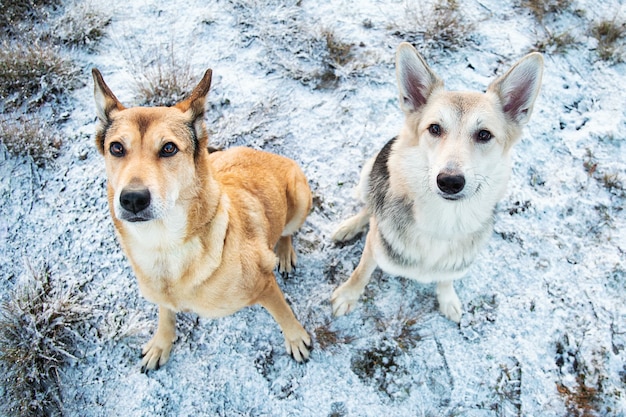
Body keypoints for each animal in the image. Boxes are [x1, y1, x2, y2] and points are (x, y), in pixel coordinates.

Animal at [92, 68, 312, 370]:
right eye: (116, 148)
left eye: (169, 148)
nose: (133, 199)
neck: (165, 248)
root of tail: (268, 153)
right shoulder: (162, 295)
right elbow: (165, 314)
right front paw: (161, 342)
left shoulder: (265, 285)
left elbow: (284, 312)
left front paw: (296, 338)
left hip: (300, 198)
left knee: (288, 231)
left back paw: (285, 252)